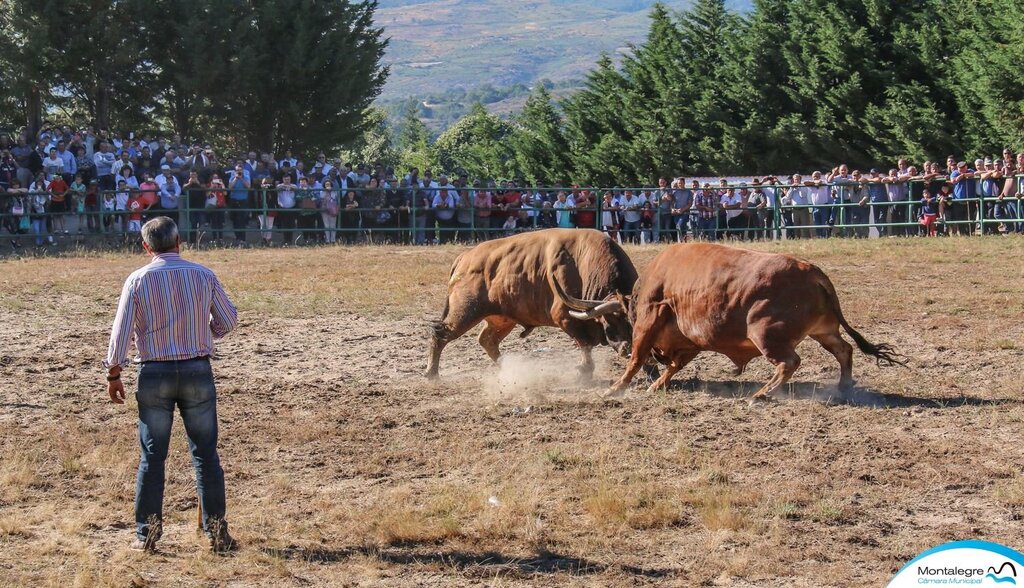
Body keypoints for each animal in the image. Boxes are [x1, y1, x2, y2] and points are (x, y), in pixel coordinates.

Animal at [421, 228, 630, 381]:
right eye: (610, 322)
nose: (627, 349)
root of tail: (464, 258)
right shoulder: (565, 318)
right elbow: (585, 346)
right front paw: (584, 372)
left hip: (502, 319)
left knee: (487, 340)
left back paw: (506, 366)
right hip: (465, 312)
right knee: (440, 334)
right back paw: (432, 373)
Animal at [561, 241, 905, 399]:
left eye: (619, 322)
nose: (617, 345)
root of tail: (813, 272)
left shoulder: (650, 319)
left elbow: (637, 358)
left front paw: (615, 388)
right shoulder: (690, 340)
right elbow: (674, 364)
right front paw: (657, 384)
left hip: (766, 333)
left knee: (789, 362)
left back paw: (763, 394)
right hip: (823, 330)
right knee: (844, 350)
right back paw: (844, 386)